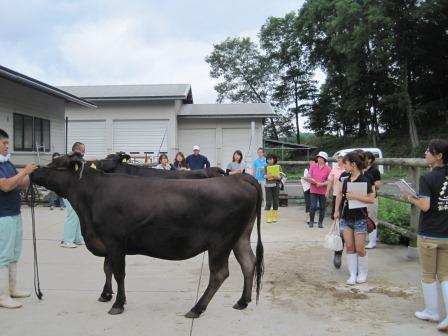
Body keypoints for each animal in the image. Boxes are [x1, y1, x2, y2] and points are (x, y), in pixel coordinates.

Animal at [31, 154, 264, 318]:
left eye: (57, 163)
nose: (33, 172)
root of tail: (240, 178)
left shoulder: (115, 241)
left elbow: (119, 273)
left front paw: (118, 304)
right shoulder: (107, 243)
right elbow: (107, 269)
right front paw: (106, 295)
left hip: (220, 241)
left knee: (219, 274)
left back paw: (197, 308)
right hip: (240, 236)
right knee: (248, 262)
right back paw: (242, 301)